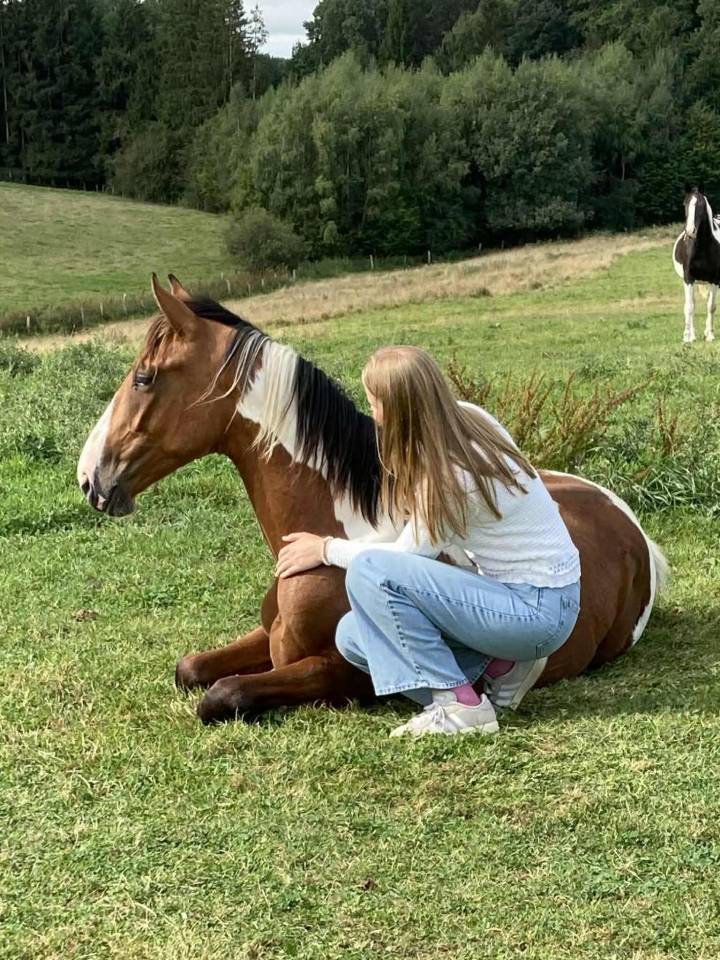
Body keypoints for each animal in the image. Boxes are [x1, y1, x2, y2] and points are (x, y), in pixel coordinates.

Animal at [77, 275, 669, 724]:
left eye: (144, 377)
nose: (90, 477)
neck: (348, 527)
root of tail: (624, 516)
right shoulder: (267, 636)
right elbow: (191, 669)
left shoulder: (347, 670)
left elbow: (224, 694)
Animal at [673, 185, 720, 343]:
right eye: (685, 204)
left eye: (700, 204)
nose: (690, 231)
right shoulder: (688, 279)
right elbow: (689, 307)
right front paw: (687, 337)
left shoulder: (715, 280)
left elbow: (711, 306)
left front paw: (710, 335)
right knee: (692, 302)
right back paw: (693, 335)